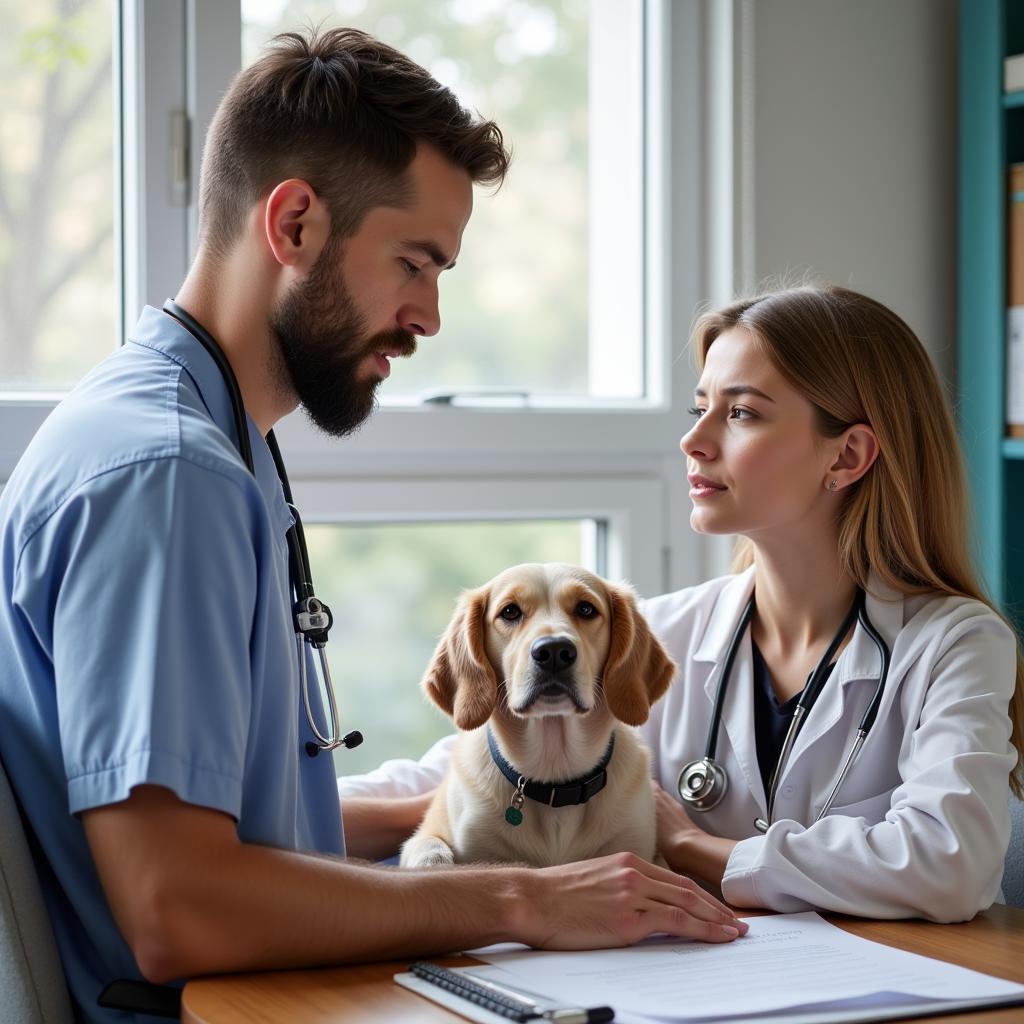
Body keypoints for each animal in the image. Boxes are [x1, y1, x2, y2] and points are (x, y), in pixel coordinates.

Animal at [401, 565, 679, 868]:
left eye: (586, 609)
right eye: (510, 612)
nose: (554, 651)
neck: (554, 769)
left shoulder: (644, 852)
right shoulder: (443, 838)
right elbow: (427, 850)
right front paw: (434, 860)